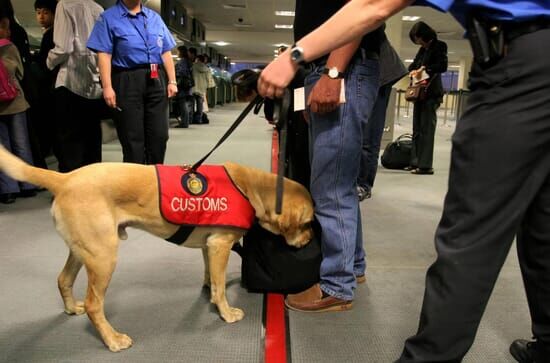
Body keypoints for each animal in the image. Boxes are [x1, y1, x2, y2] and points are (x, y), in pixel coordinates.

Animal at [0, 146, 312, 352]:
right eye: (309, 223)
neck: (250, 188)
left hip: (82, 250)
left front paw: (209, 293)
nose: (309, 242)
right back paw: (113, 340)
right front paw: (225, 312)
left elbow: (211, 278)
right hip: (103, 257)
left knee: (63, 280)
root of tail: (64, 177)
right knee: (93, 305)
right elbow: (221, 286)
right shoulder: (221, 244)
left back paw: (70, 308)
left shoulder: (208, 244)